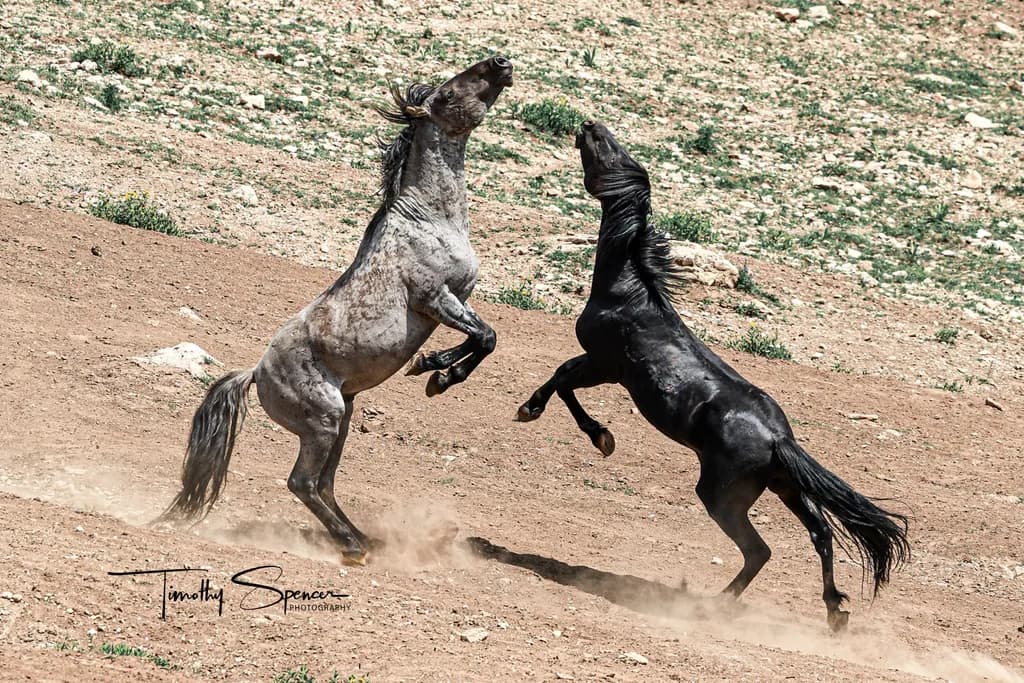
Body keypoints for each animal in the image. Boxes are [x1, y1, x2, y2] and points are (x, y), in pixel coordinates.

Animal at [159, 56, 514, 566]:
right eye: (446, 93)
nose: (501, 63)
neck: (430, 219)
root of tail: (256, 374)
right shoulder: (435, 299)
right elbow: (484, 338)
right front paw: (436, 373)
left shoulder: (459, 300)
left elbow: (484, 337)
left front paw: (434, 370)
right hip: (324, 421)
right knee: (303, 483)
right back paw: (352, 547)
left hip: (342, 420)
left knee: (325, 485)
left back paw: (362, 539)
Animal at [514, 121, 909, 631]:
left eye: (611, 153)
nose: (589, 125)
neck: (630, 292)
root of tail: (779, 438)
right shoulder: (603, 368)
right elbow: (563, 380)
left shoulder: (603, 365)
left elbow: (562, 379)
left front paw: (575, 427)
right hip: (784, 488)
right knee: (820, 532)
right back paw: (834, 611)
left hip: (722, 496)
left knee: (761, 550)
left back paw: (714, 606)